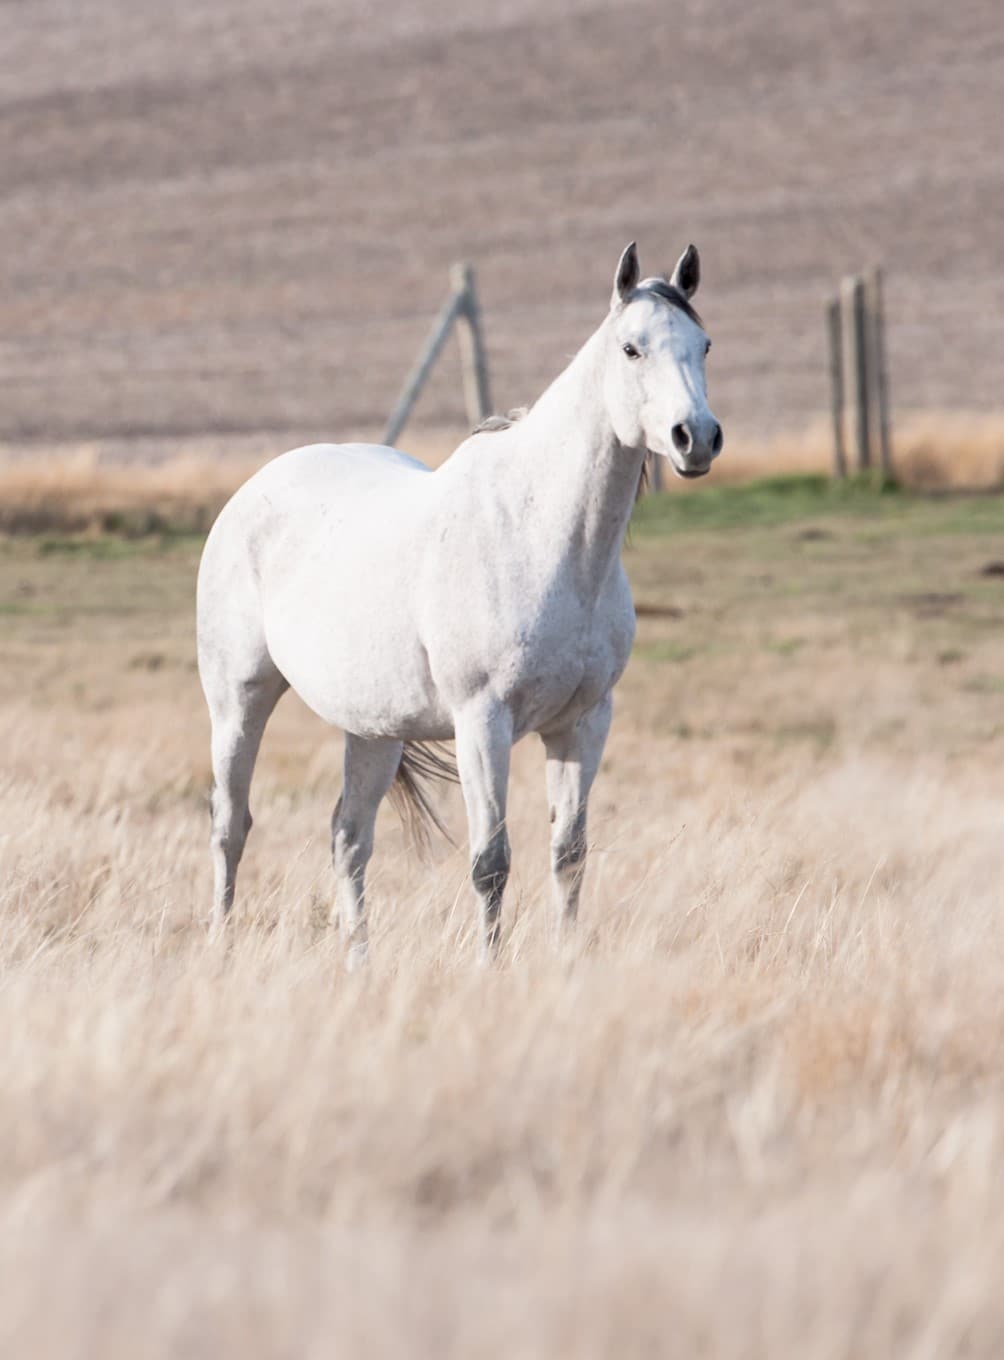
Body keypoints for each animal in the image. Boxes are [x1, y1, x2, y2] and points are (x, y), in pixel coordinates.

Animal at [193, 247, 718, 968]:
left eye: (704, 345)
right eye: (631, 348)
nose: (696, 438)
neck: (542, 537)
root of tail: (251, 490)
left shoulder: (584, 723)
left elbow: (570, 854)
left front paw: (566, 965)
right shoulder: (482, 722)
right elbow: (490, 862)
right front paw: (487, 969)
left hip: (373, 729)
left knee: (348, 837)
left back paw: (360, 966)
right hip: (238, 702)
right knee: (230, 826)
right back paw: (219, 949)